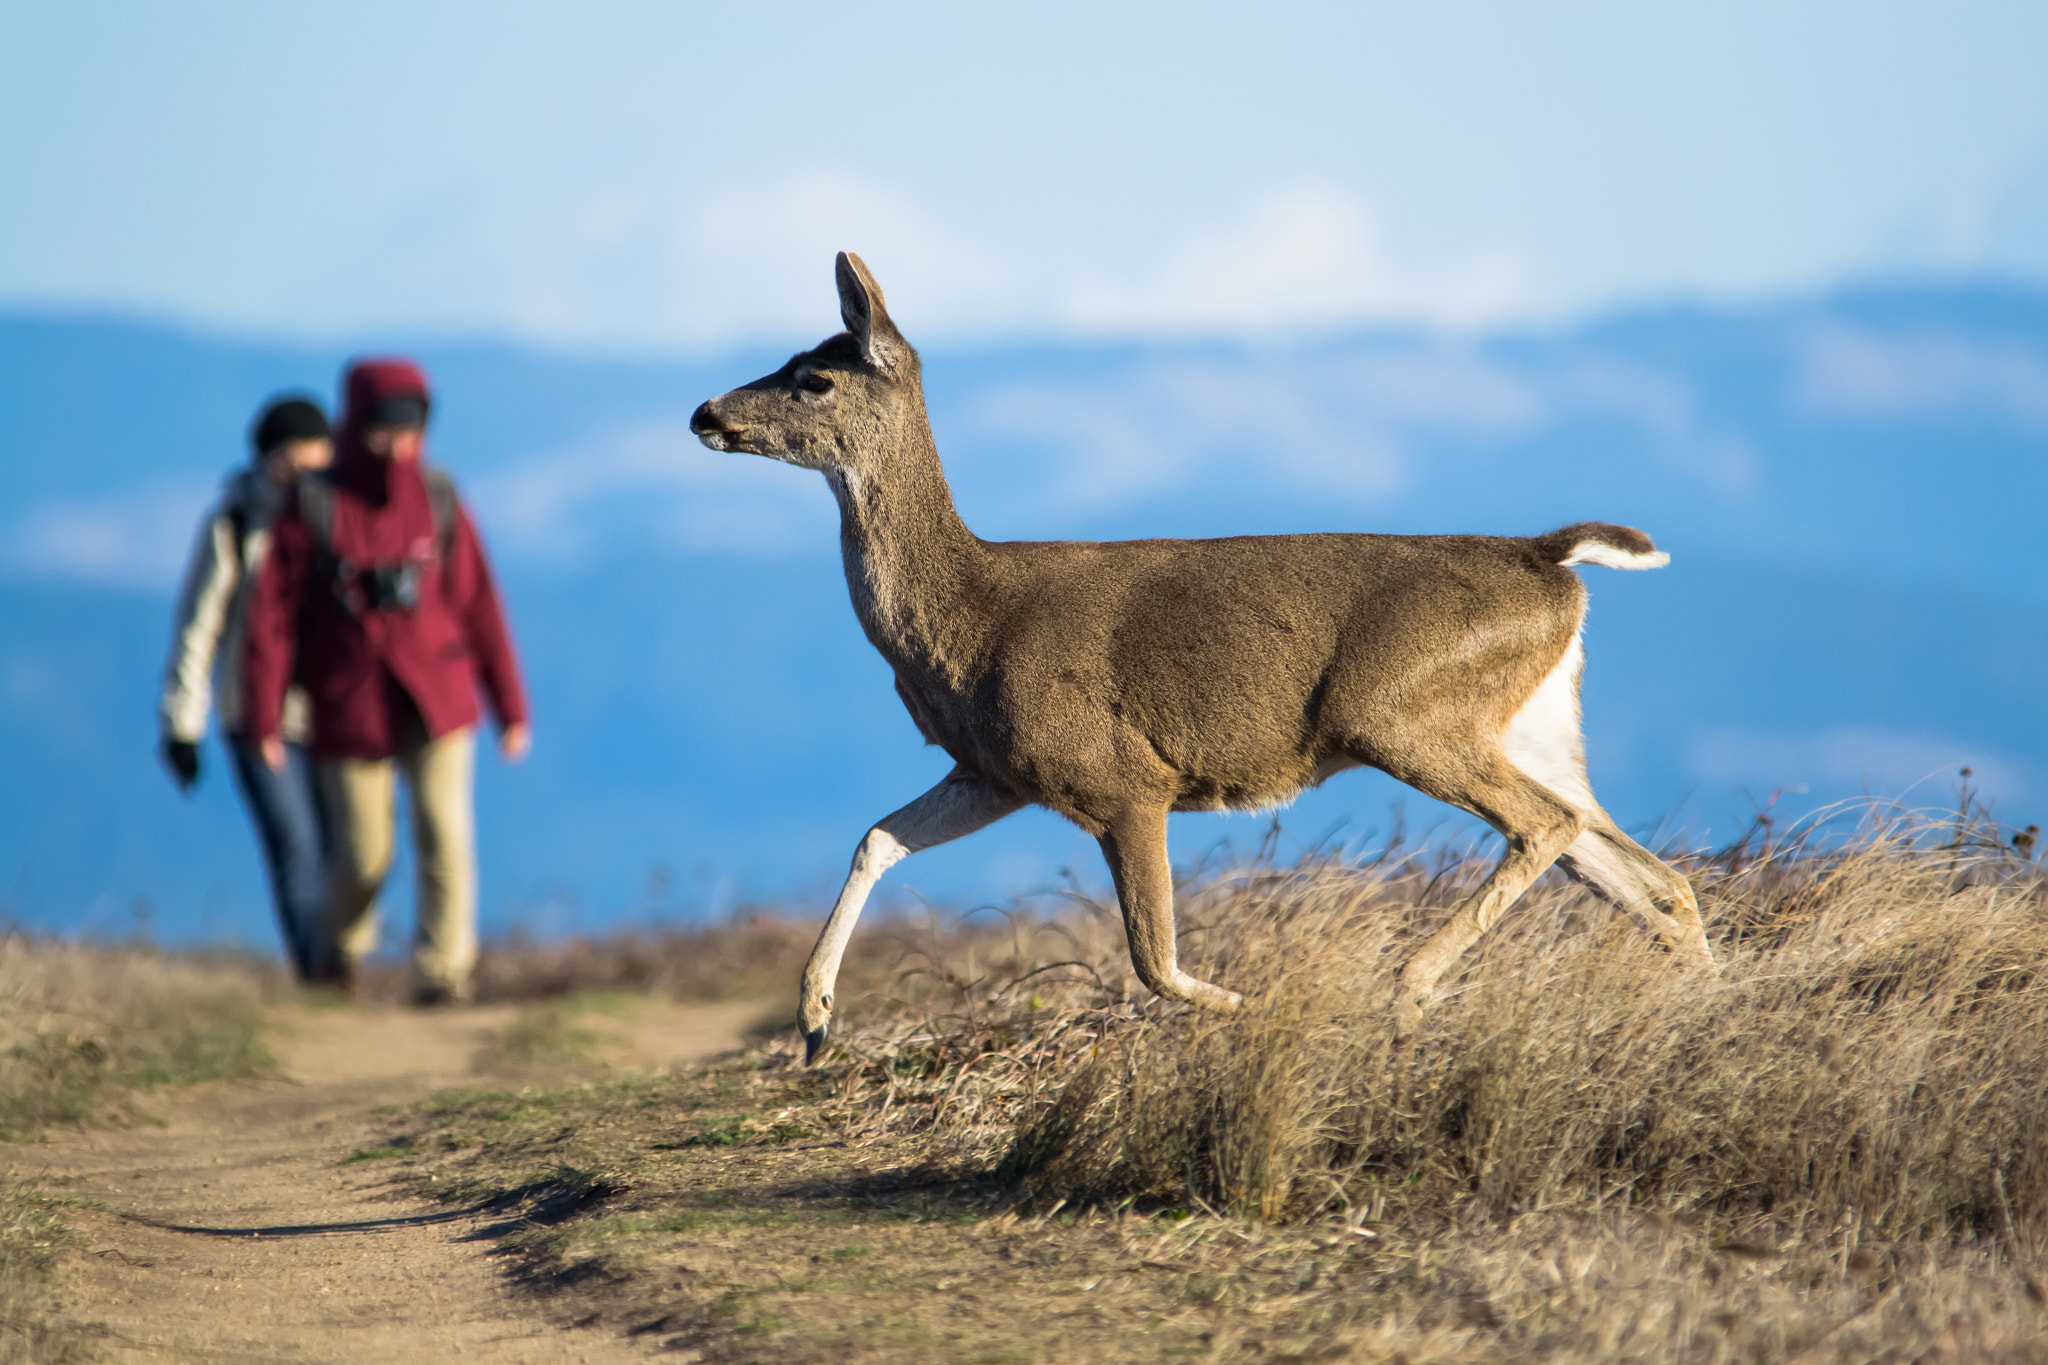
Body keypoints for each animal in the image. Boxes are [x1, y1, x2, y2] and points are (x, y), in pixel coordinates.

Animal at [691, 252, 1717, 1065]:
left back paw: (1410, 988)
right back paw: (1708, 1014)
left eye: (812, 379)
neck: (973, 621)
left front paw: (1273, 1012)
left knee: (1548, 826)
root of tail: (1551, 558)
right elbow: (876, 836)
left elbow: (1156, 962)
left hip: (1403, 708)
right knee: (1648, 871)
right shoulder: (998, 772)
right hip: (1530, 722)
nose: (704, 411)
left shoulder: (1122, 777)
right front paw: (816, 1020)